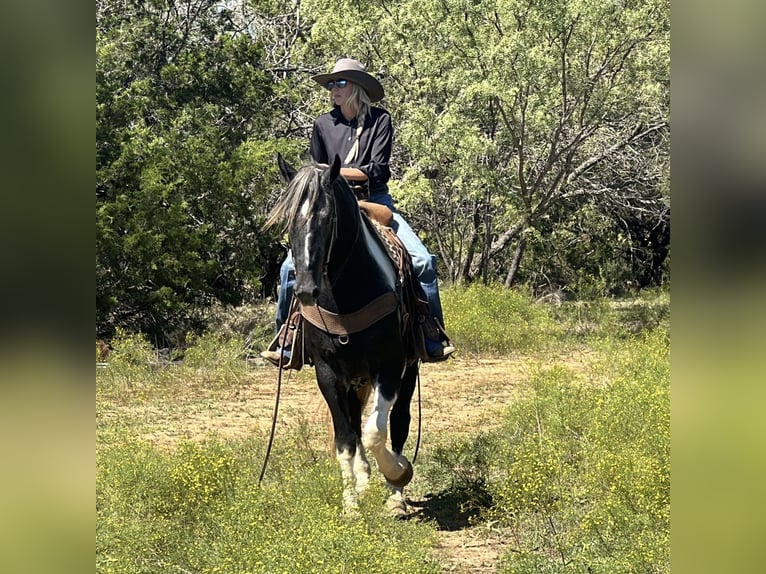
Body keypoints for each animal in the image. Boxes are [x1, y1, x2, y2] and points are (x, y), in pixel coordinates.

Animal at [267, 154, 418, 513]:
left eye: (327, 216)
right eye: (288, 218)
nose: (306, 291)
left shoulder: (390, 366)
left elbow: (377, 431)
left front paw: (397, 473)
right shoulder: (328, 373)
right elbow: (346, 438)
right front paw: (351, 502)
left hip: (410, 368)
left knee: (399, 421)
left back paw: (396, 494)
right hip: (353, 379)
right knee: (354, 422)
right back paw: (363, 481)